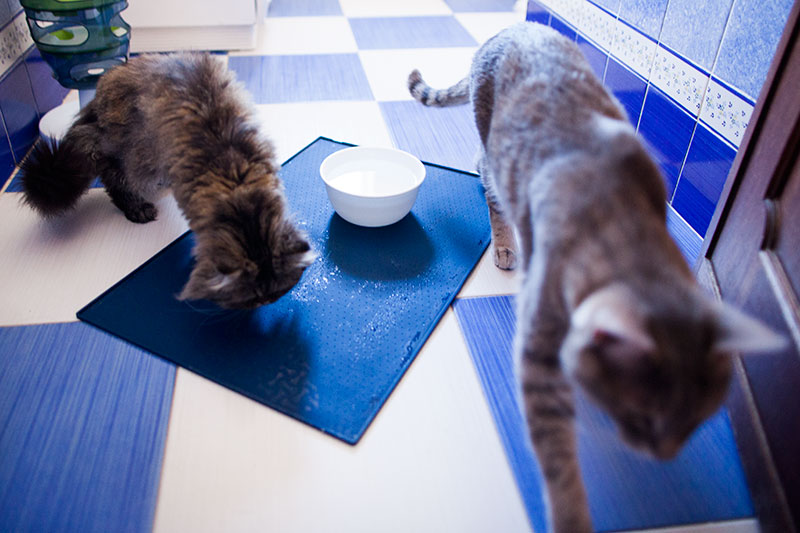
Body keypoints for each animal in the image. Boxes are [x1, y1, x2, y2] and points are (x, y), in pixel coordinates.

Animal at [18, 52, 312, 310]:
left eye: (276, 292)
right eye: (252, 298)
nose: (265, 303)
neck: (236, 183)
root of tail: (107, 79)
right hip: (138, 155)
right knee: (114, 178)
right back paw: (137, 208)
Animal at [410, 21, 784, 532]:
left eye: (697, 424)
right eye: (645, 417)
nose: (663, 456)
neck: (620, 214)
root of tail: (510, 28)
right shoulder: (539, 348)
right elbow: (559, 462)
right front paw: (571, 515)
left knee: (485, 165)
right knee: (490, 177)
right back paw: (504, 241)